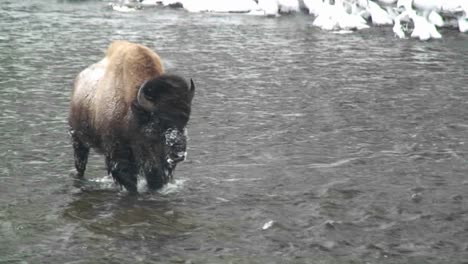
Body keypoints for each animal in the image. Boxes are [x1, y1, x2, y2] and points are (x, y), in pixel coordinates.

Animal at [68, 40, 195, 193]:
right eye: (158, 122)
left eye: (185, 120)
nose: (178, 154)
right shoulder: (119, 155)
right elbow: (129, 182)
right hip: (78, 140)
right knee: (80, 165)